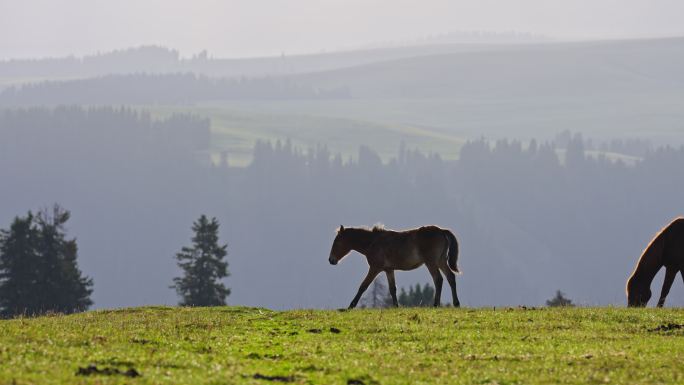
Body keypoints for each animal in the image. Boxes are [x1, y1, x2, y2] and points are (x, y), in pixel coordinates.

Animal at [326, 224, 460, 308]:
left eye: (337, 242)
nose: (331, 260)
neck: (373, 242)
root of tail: (441, 231)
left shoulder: (375, 268)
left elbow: (363, 286)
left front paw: (351, 305)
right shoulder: (389, 270)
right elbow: (392, 289)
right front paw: (396, 306)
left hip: (431, 262)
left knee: (438, 280)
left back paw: (436, 304)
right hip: (441, 261)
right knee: (450, 277)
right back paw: (456, 303)